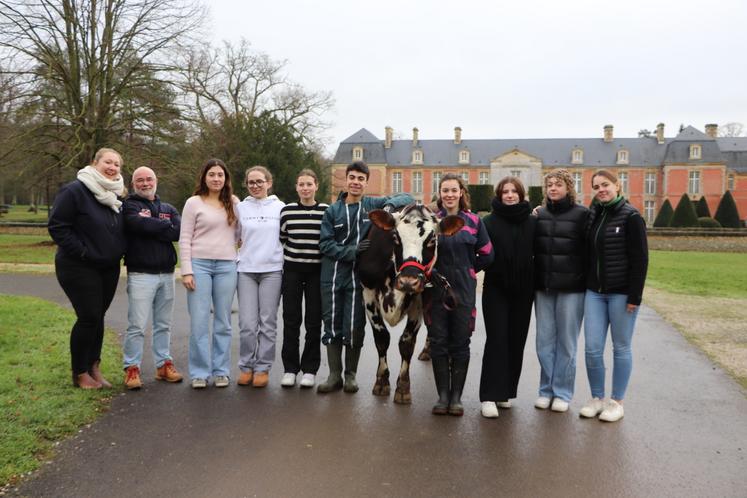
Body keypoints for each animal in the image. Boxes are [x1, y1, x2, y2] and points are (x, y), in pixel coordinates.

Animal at [356, 204, 462, 402]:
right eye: (395, 237)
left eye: (432, 240)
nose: (408, 281)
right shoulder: (367, 293)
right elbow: (382, 338)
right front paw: (382, 381)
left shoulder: (419, 301)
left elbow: (406, 343)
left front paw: (403, 387)